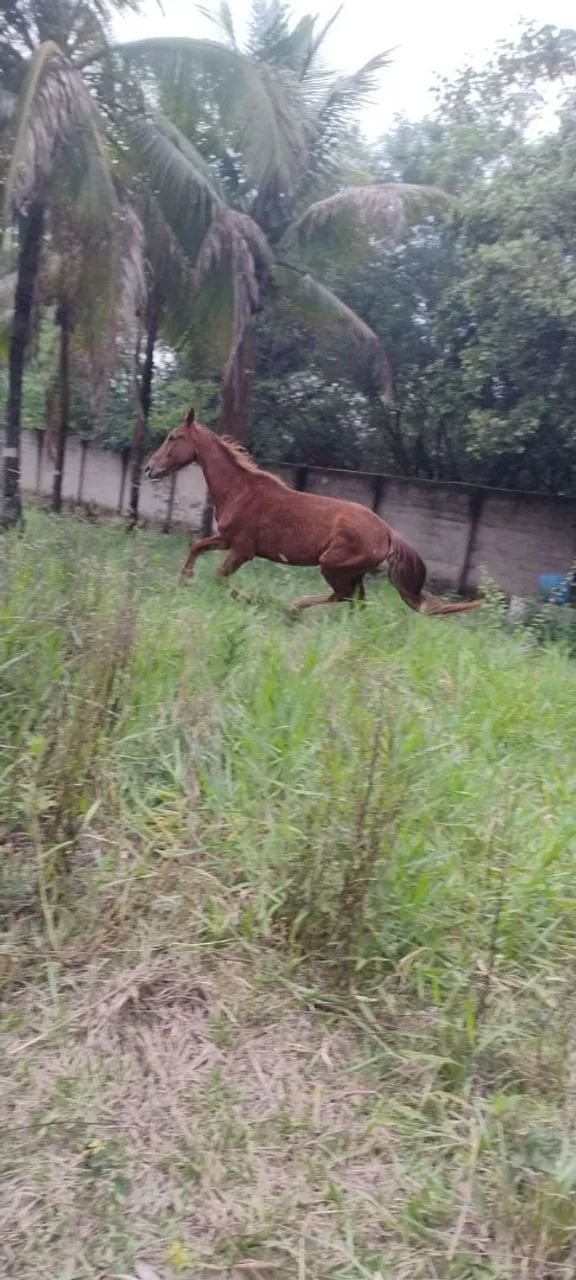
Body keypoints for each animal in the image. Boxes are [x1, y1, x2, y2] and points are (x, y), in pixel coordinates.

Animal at [145, 409, 481, 617]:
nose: (149, 468)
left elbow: (218, 578)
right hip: (353, 572)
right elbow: (197, 548)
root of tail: (388, 532)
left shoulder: (241, 550)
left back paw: (292, 607)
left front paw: (250, 599)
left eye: (173, 437)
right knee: (357, 602)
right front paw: (185, 579)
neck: (240, 490)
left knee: (341, 596)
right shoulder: (226, 540)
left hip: (333, 566)